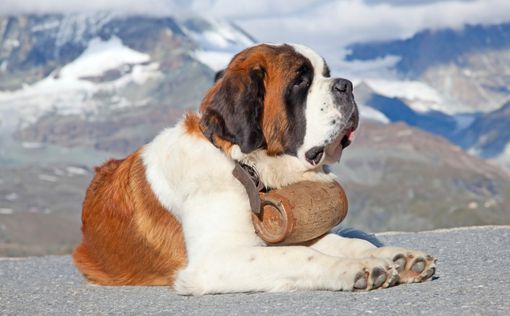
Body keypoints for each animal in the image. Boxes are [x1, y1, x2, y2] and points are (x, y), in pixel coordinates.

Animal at [73, 42, 436, 294]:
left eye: (326, 74)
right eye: (300, 82)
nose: (346, 85)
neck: (246, 167)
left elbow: (341, 242)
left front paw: (393, 257)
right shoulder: (215, 260)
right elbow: (298, 256)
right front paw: (354, 269)